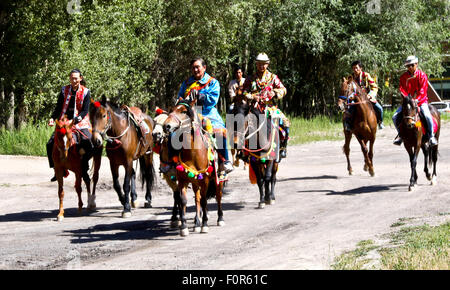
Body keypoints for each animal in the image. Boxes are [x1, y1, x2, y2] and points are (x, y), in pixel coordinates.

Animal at [163, 98, 224, 237]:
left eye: (184, 111)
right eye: (171, 110)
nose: (166, 126)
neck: (193, 152)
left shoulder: (205, 180)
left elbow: (205, 201)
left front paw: (205, 225)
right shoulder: (182, 180)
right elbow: (183, 201)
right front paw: (184, 227)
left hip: (218, 179)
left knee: (218, 196)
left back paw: (220, 218)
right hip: (195, 181)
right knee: (197, 198)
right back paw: (196, 223)